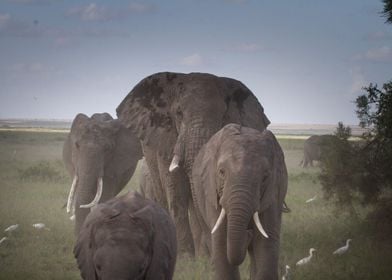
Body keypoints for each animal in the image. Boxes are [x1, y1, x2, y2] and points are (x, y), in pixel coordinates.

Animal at [115, 71, 270, 256]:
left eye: (223, 115)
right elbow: (176, 190)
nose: (210, 248)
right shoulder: (168, 139)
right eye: (179, 113)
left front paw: (204, 255)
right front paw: (186, 256)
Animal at [191, 124, 286, 280]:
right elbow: (221, 243)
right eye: (221, 172)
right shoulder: (212, 191)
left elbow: (266, 243)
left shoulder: (273, 192)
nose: (248, 233)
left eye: (265, 177)